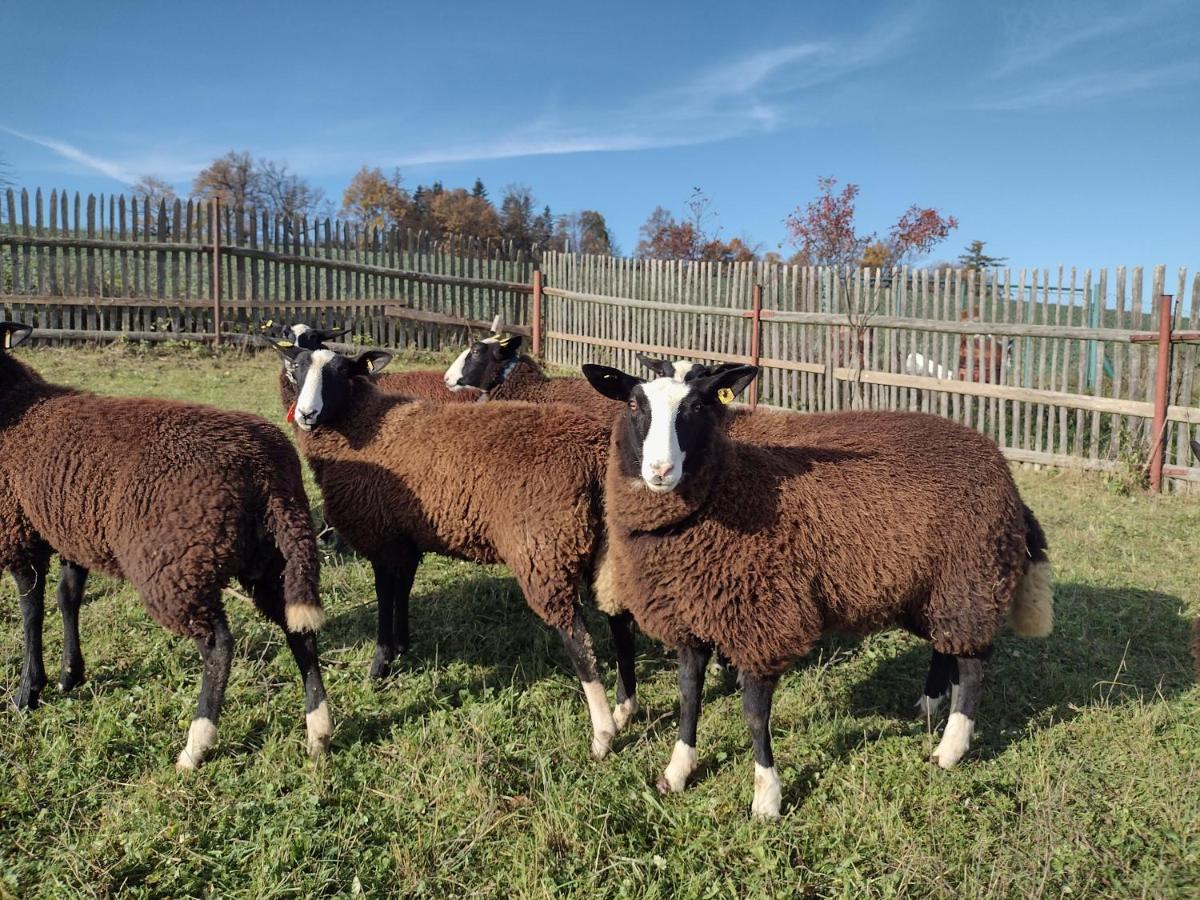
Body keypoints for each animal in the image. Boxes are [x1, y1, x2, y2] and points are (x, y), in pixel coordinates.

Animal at [0, 321, 331, 768]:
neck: (15, 404)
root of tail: (265, 468)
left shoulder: (18, 531)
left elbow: (31, 612)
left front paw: (27, 693)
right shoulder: (71, 530)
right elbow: (68, 599)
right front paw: (71, 674)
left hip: (174, 564)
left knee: (218, 645)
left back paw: (196, 746)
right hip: (276, 554)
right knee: (299, 630)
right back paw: (318, 732)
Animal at [264, 340, 638, 758]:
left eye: (342, 372)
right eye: (295, 369)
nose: (307, 414)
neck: (365, 423)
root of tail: (595, 455)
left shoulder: (381, 536)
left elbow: (384, 597)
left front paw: (379, 665)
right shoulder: (406, 538)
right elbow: (403, 591)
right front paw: (402, 646)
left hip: (544, 551)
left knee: (579, 640)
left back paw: (603, 733)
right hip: (607, 546)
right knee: (621, 621)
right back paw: (625, 709)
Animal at [585, 362, 1056, 820]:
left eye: (698, 407)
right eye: (633, 404)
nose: (661, 471)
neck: (729, 491)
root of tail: (1001, 465)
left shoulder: (762, 620)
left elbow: (754, 715)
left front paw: (767, 798)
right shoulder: (691, 616)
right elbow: (688, 696)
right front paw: (677, 771)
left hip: (970, 578)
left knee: (974, 665)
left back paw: (950, 748)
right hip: (933, 590)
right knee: (947, 647)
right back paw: (929, 706)